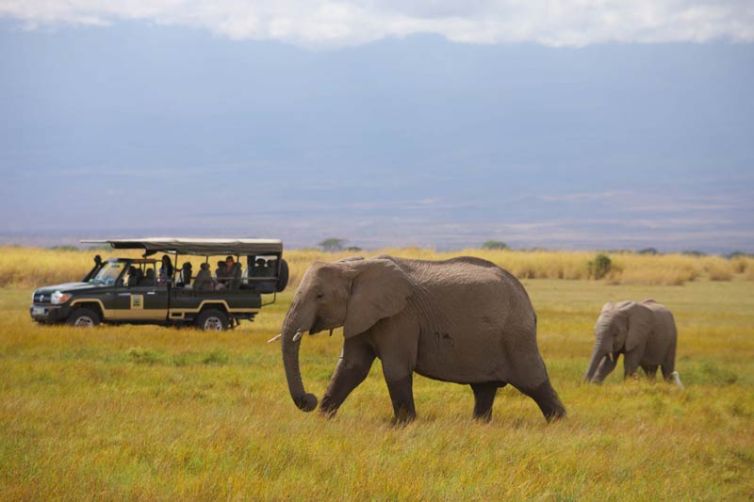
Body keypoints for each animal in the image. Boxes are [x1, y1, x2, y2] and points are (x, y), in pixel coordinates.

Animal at [278, 255, 566, 423]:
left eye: (319, 296)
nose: (309, 399)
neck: (356, 266)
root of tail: (527, 299)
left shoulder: (400, 317)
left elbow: (395, 368)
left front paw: (403, 425)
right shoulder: (362, 314)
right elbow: (351, 367)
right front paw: (322, 420)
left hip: (516, 336)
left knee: (534, 381)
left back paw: (559, 423)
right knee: (483, 389)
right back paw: (478, 425)